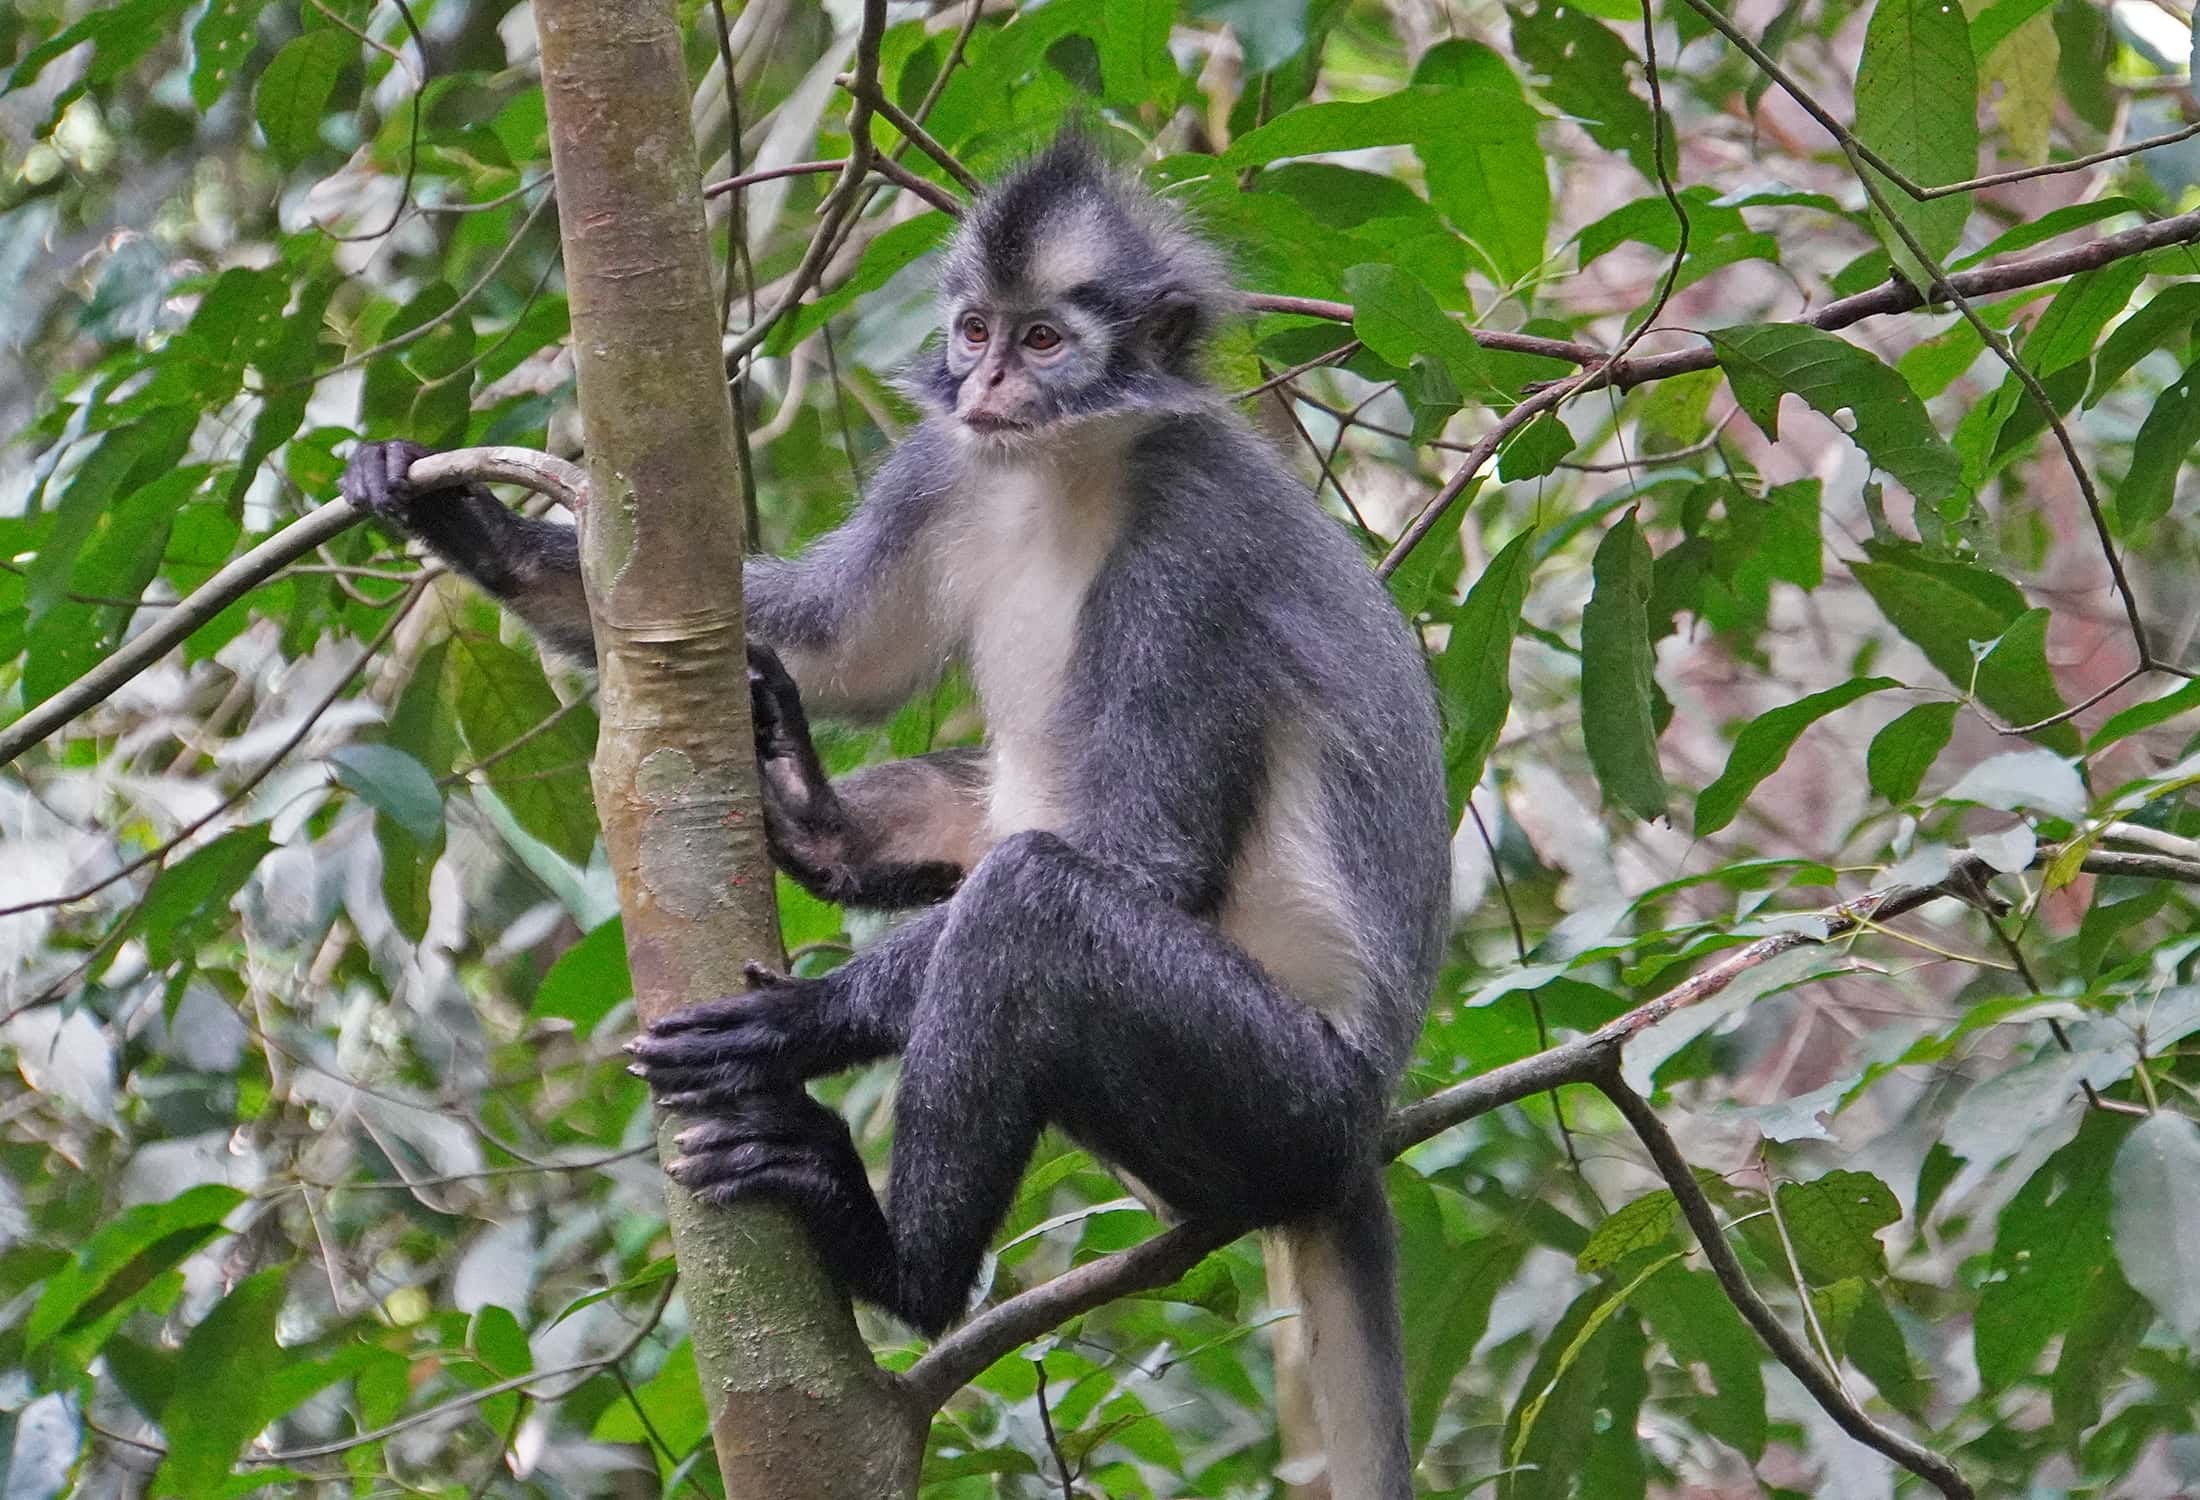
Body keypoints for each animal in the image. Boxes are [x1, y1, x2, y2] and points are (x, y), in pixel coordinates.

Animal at [341, 137, 1449, 1498]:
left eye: (1043, 341)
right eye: (974, 331)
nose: (986, 381)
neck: (1057, 473)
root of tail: (1360, 1130)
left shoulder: (1194, 541)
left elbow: (1144, 853)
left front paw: (803, 1022)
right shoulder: (946, 466)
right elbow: (834, 648)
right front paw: (466, 524)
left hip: (1285, 1097)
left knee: (1028, 906)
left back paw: (896, 1264)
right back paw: (810, 823)